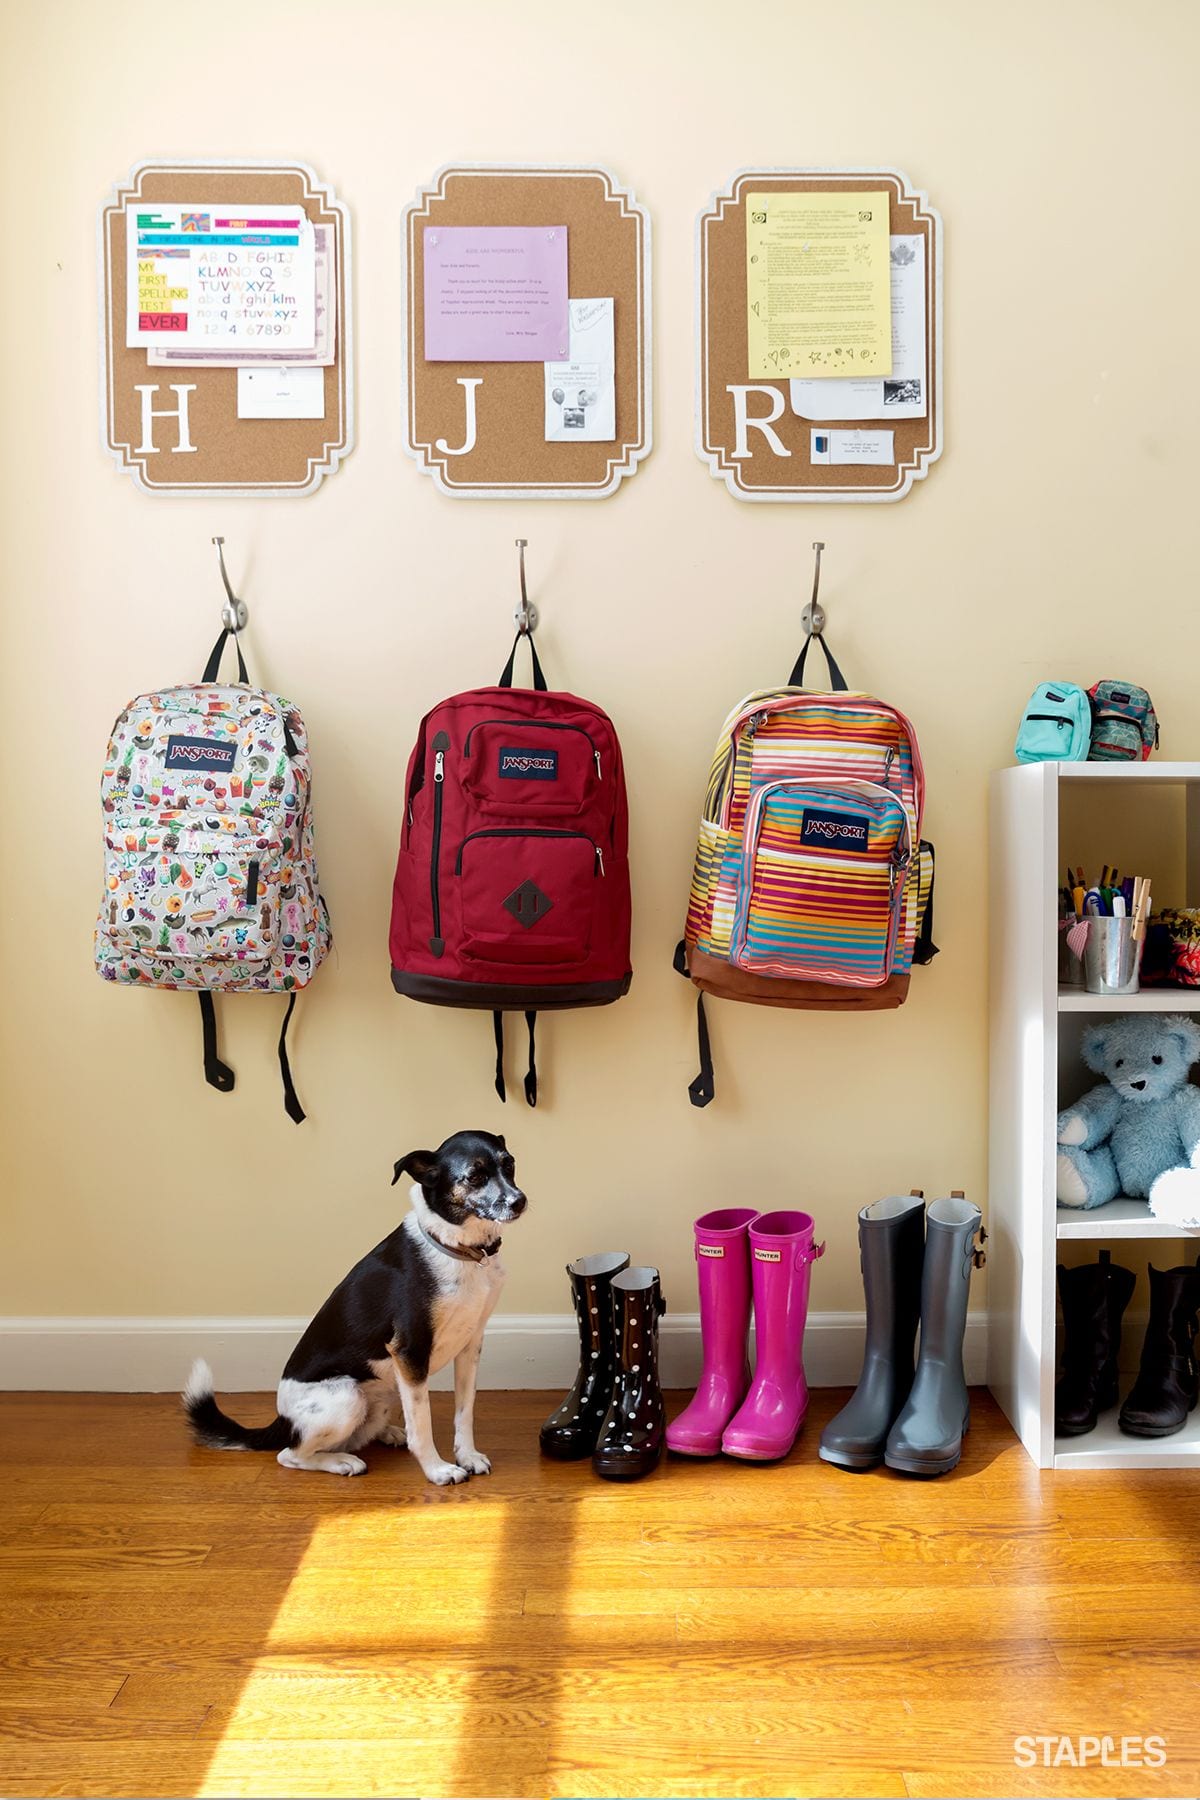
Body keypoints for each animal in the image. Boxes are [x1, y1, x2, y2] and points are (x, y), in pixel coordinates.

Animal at [183, 1123, 525, 1490]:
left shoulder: (470, 1344)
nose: (519, 1201)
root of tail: (282, 1421)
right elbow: (423, 1425)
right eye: (474, 1176)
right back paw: (343, 1462)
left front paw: (467, 1455)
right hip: (347, 1397)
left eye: (509, 1164)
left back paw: (387, 1434)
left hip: (384, 1394)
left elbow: (465, 1411)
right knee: (290, 1454)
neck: (457, 1248)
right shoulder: (409, 1350)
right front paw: (437, 1470)